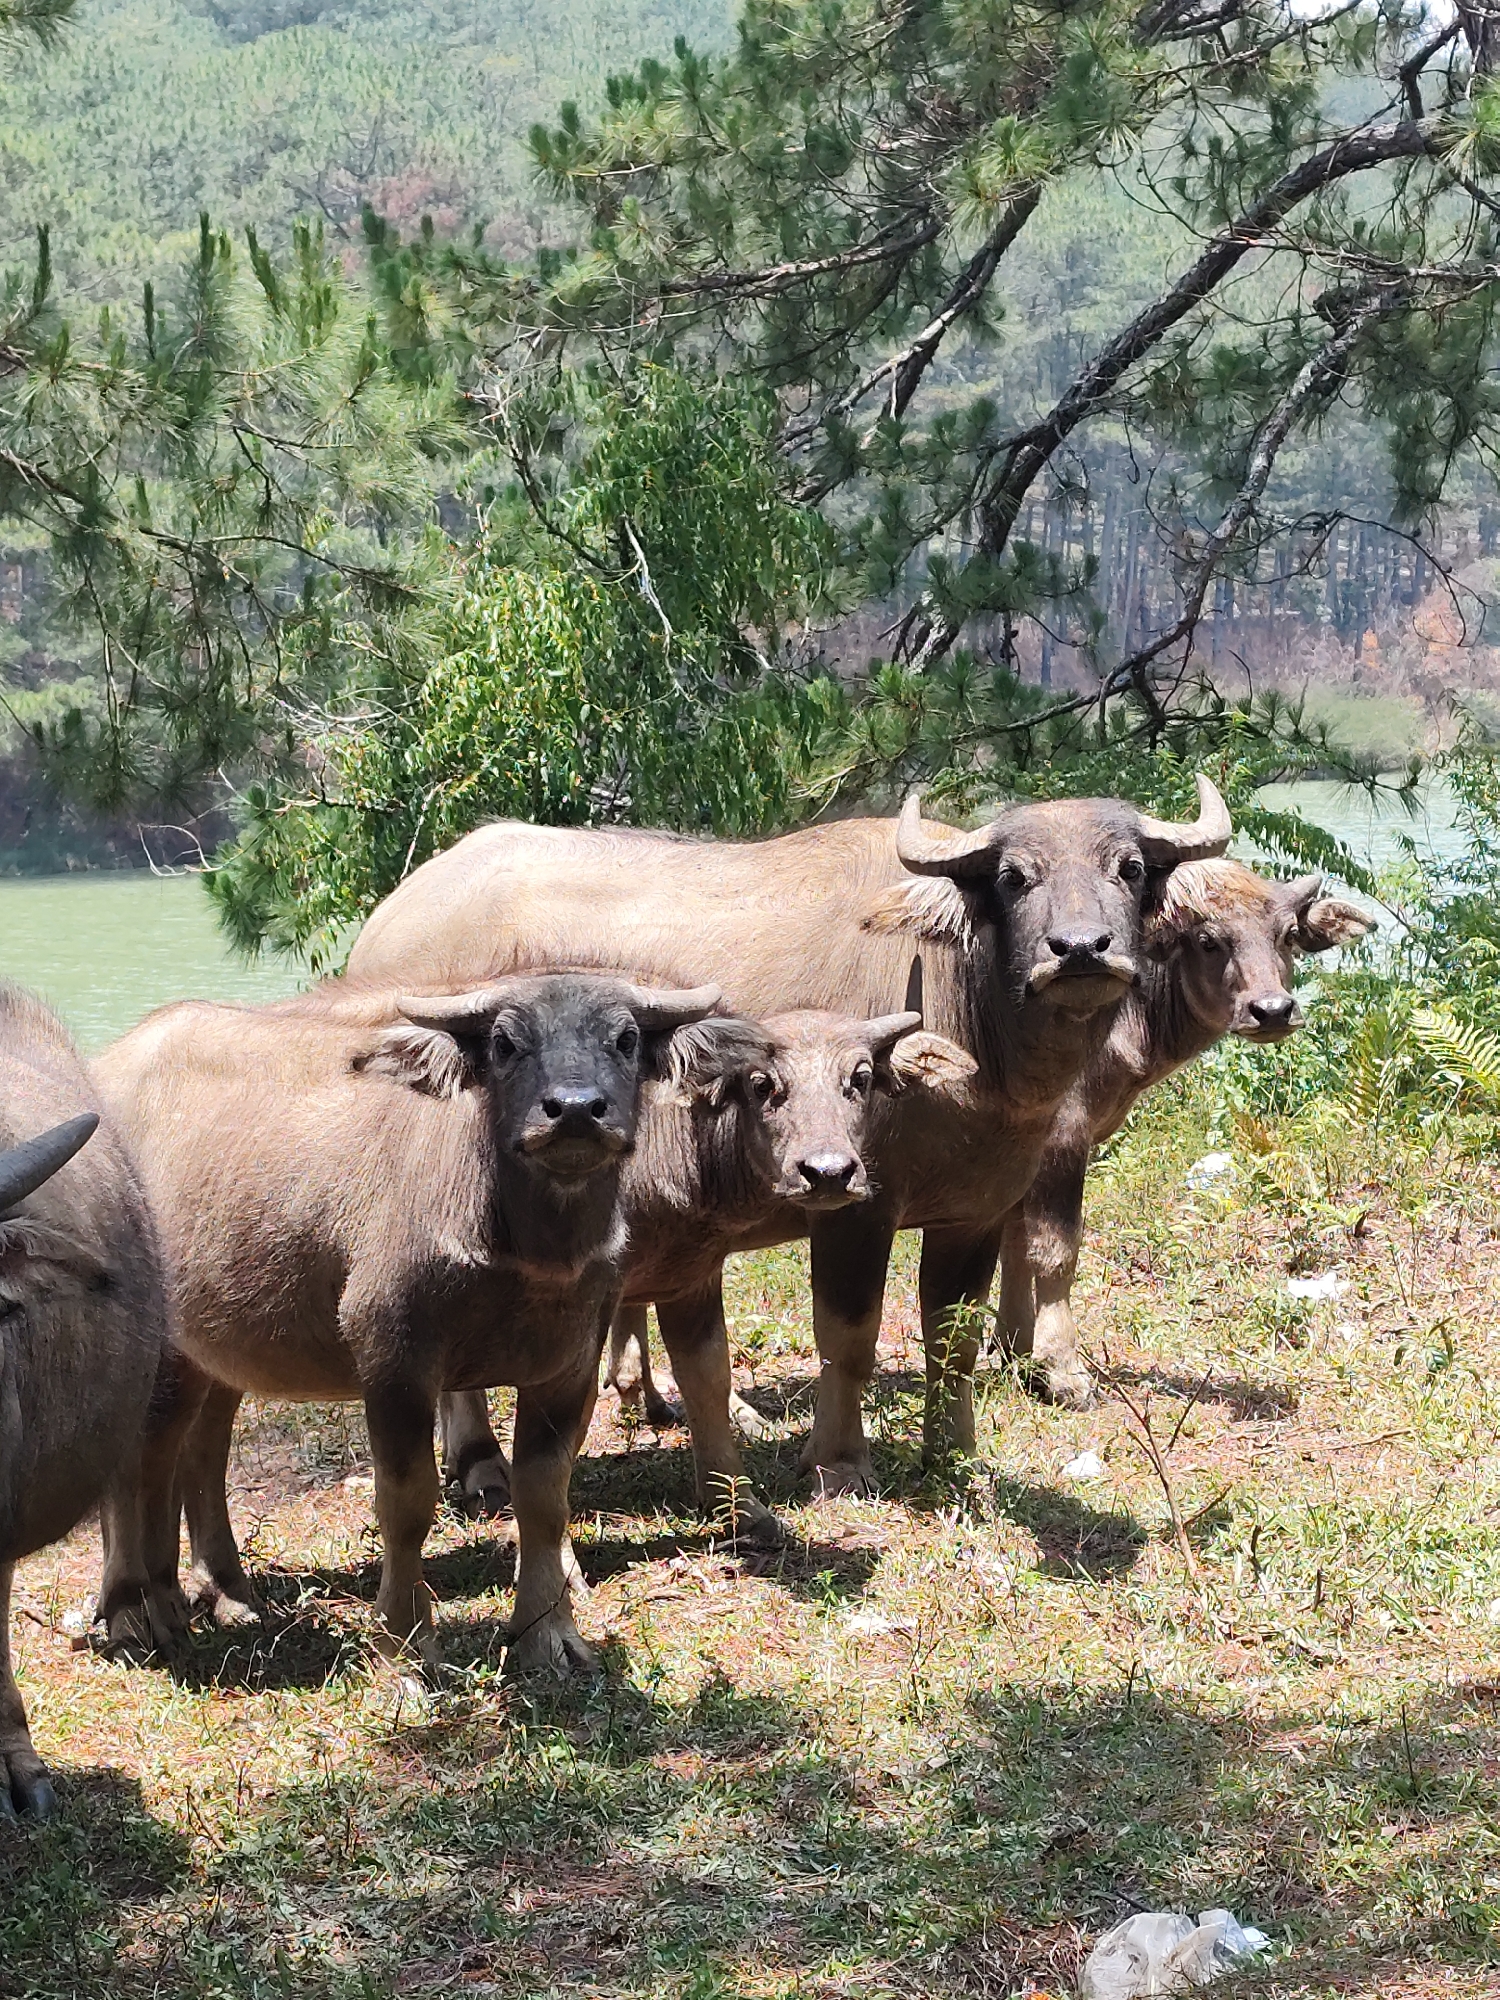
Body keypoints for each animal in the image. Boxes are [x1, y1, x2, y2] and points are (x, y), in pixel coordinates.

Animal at [93, 973, 724, 1674]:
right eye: (505, 1042)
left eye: (626, 1038)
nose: (576, 1110)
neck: (519, 1246)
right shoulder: (394, 1359)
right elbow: (406, 1503)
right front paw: (403, 1645)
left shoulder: (571, 1363)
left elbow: (545, 1496)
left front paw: (549, 1634)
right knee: (136, 1459)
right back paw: (133, 1614)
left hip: (220, 1346)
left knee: (200, 1448)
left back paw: (223, 1594)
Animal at [345, 782, 1231, 1491]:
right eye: (1016, 876)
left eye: (1129, 868)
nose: (1080, 949)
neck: (968, 1025)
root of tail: (385, 923)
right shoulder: (854, 1203)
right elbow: (850, 1333)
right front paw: (839, 1459)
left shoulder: (974, 1211)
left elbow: (951, 1339)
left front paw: (953, 1451)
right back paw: (480, 1462)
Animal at [998, 861, 1373, 1403]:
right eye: (1207, 940)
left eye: (1286, 935)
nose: (1273, 1009)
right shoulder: (1062, 1134)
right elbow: (1053, 1250)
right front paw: (1062, 1369)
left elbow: (1013, 1240)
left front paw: (1015, 1352)